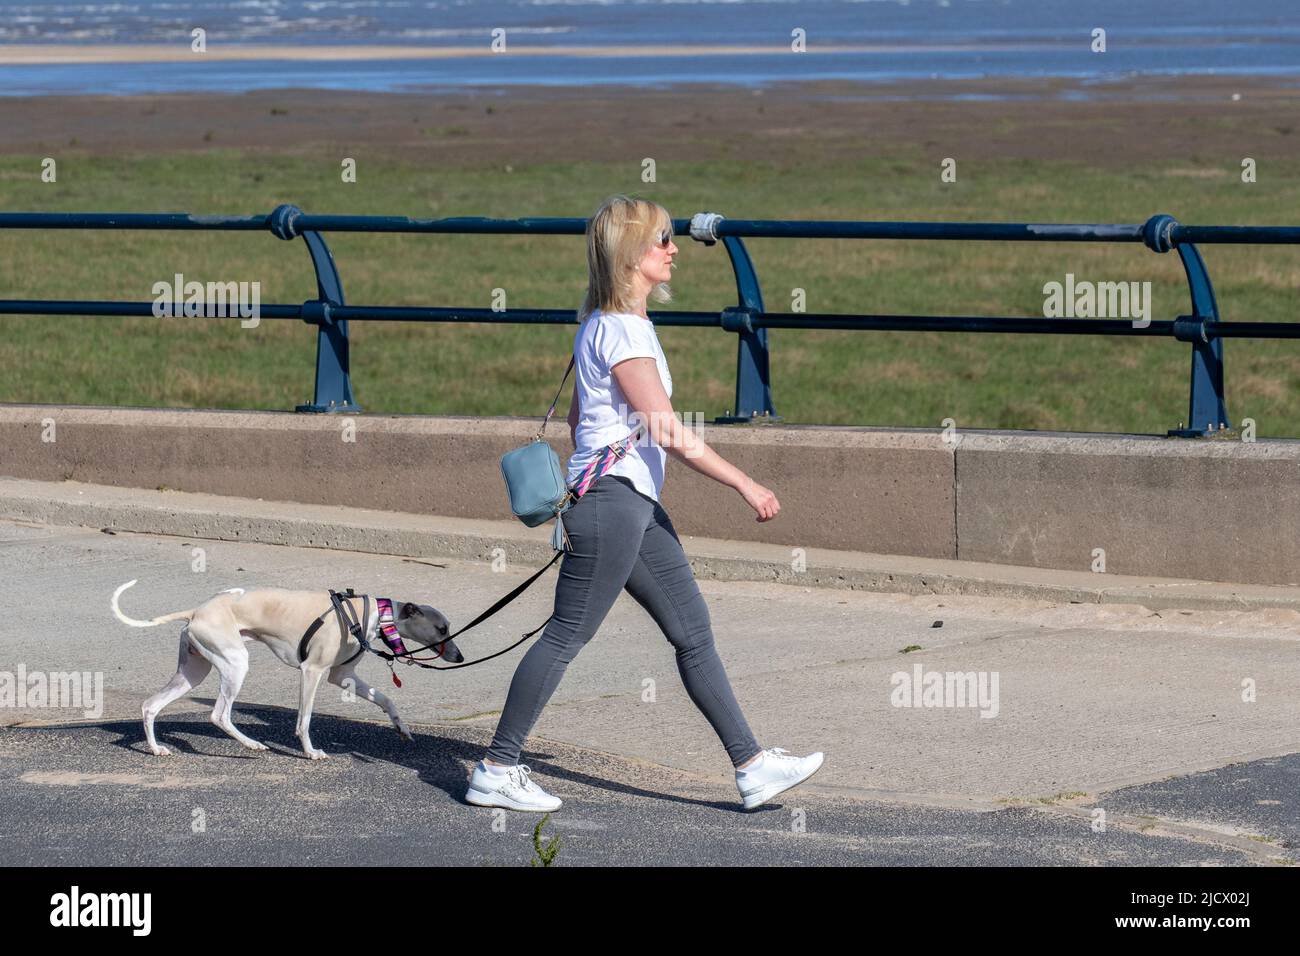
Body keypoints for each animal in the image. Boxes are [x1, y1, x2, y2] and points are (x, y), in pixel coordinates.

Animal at [110, 580, 462, 759]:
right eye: (442, 628)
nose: (459, 657)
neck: (370, 613)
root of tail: (196, 611)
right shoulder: (312, 671)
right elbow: (303, 721)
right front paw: (310, 751)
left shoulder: (341, 676)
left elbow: (386, 699)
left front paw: (402, 729)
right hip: (235, 664)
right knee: (219, 715)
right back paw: (251, 744)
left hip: (193, 672)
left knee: (150, 705)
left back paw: (156, 748)